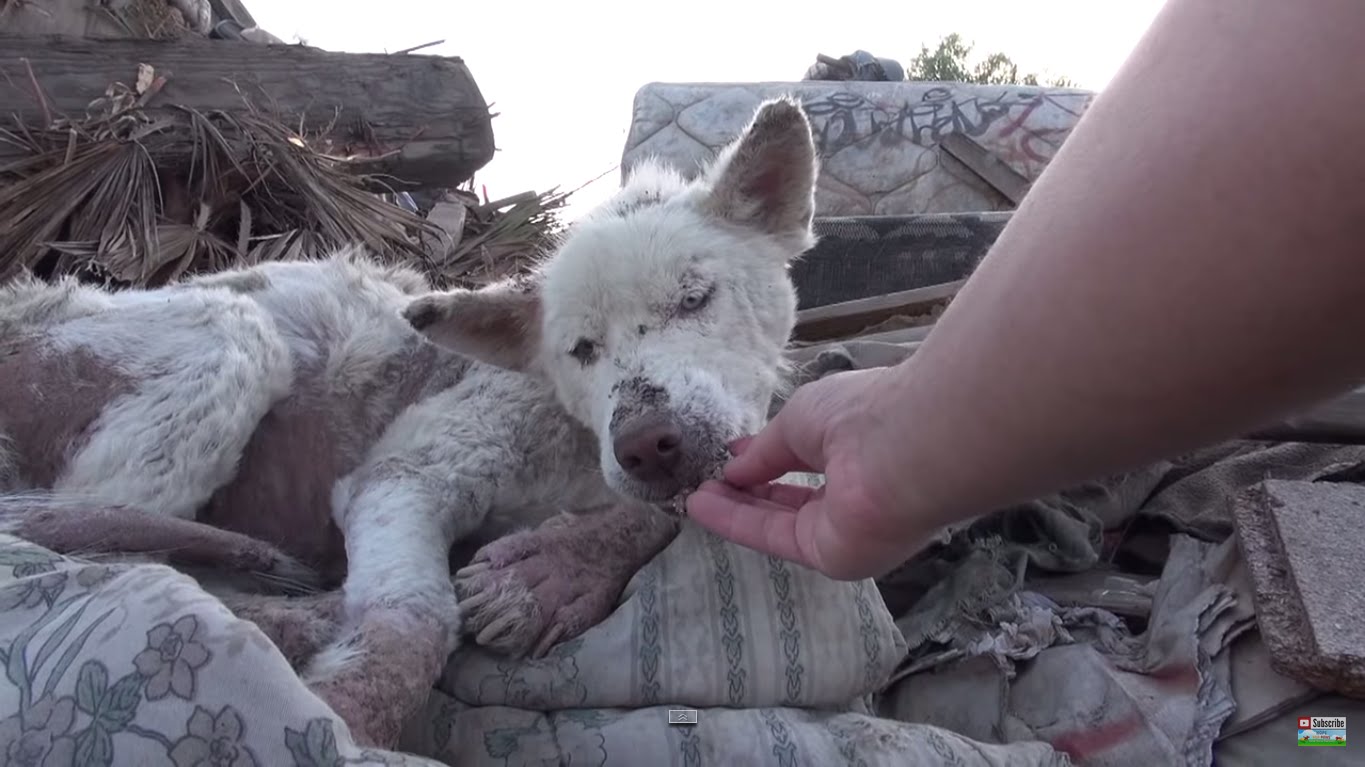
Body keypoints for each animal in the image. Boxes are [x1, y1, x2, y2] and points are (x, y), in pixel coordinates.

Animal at [0, 96, 819, 747]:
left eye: (695, 298)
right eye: (580, 350)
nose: (647, 446)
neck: (576, 437)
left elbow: (668, 511)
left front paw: (553, 572)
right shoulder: (407, 469)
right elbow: (412, 619)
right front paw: (347, 715)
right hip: (225, 341)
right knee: (87, 549)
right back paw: (301, 615)